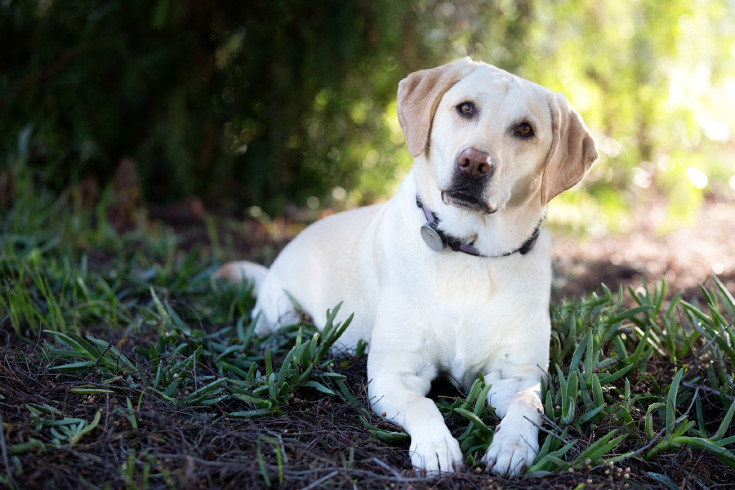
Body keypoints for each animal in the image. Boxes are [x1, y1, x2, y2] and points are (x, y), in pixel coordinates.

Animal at [218, 56, 600, 474]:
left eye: (525, 130)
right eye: (466, 108)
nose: (474, 162)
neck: (469, 253)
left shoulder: (517, 375)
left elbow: (526, 404)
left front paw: (513, 446)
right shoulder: (393, 374)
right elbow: (423, 403)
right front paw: (436, 446)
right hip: (280, 315)